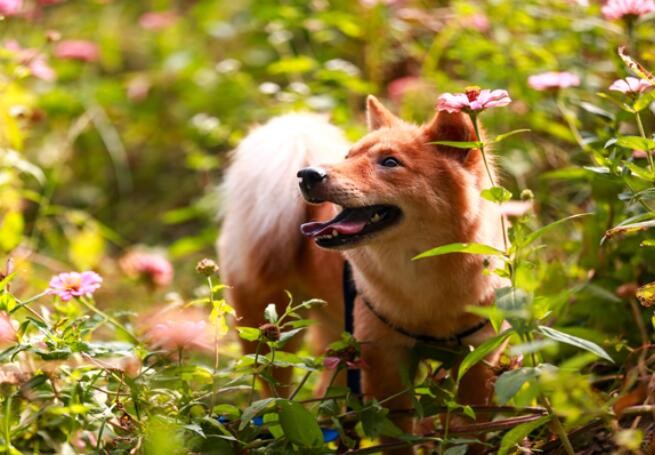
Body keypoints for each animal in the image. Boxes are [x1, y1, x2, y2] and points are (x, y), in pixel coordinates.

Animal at [219, 97, 508, 452]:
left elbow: (470, 434)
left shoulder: (478, 360)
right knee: (274, 395)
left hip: (339, 347)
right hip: (268, 335)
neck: (426, 280)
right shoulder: (384, 363)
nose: (308, 174)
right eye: (349, 156)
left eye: (390, 162)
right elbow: (398, 439)